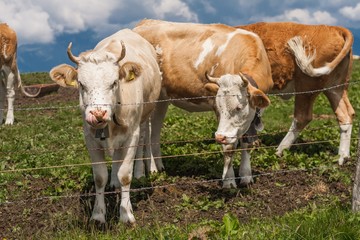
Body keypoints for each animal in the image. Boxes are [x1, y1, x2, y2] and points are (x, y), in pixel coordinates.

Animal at [49, 29, 162, 224]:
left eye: (114, 82)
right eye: (81, 84)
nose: (98, 113)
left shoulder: (131, 135)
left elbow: (125, 175)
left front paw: (126, 214)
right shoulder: (90, 138)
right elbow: (100, 177)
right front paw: (98, 215)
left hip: (147, 114)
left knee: (145, 137)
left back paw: (143, 170)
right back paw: (114, 182)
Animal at [135, 19, 272, 188]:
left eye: (239, 107)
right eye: (219, 107)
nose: (219, 136)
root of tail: (145, 22)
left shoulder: (255, 111)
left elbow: (246, 142)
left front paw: (246, 176)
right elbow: (228, 148)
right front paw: (229, 182)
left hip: (161, 99)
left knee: (154, 130)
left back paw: (157, 167)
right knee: (143, 134)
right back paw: (144, 171)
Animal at [236, 22, 354, 165]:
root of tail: (333, 28)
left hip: (307, 85)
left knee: (302, 117)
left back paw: (280, 150)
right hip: (336, 88)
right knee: (346, 115)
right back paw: (343, 157)